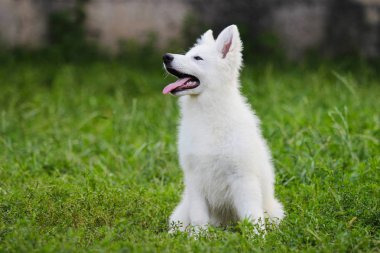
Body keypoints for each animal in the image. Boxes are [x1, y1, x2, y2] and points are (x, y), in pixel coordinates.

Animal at [162, 24, 284, 232]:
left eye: (197, 58)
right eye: (188, 54)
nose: (166, 57)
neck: (207, 115)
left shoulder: (243, 179)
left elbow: (253, 217)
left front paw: (257, 238)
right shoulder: (195, 181)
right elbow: (199, 220)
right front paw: (198, 238)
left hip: (274, 212)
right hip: (181, 211)